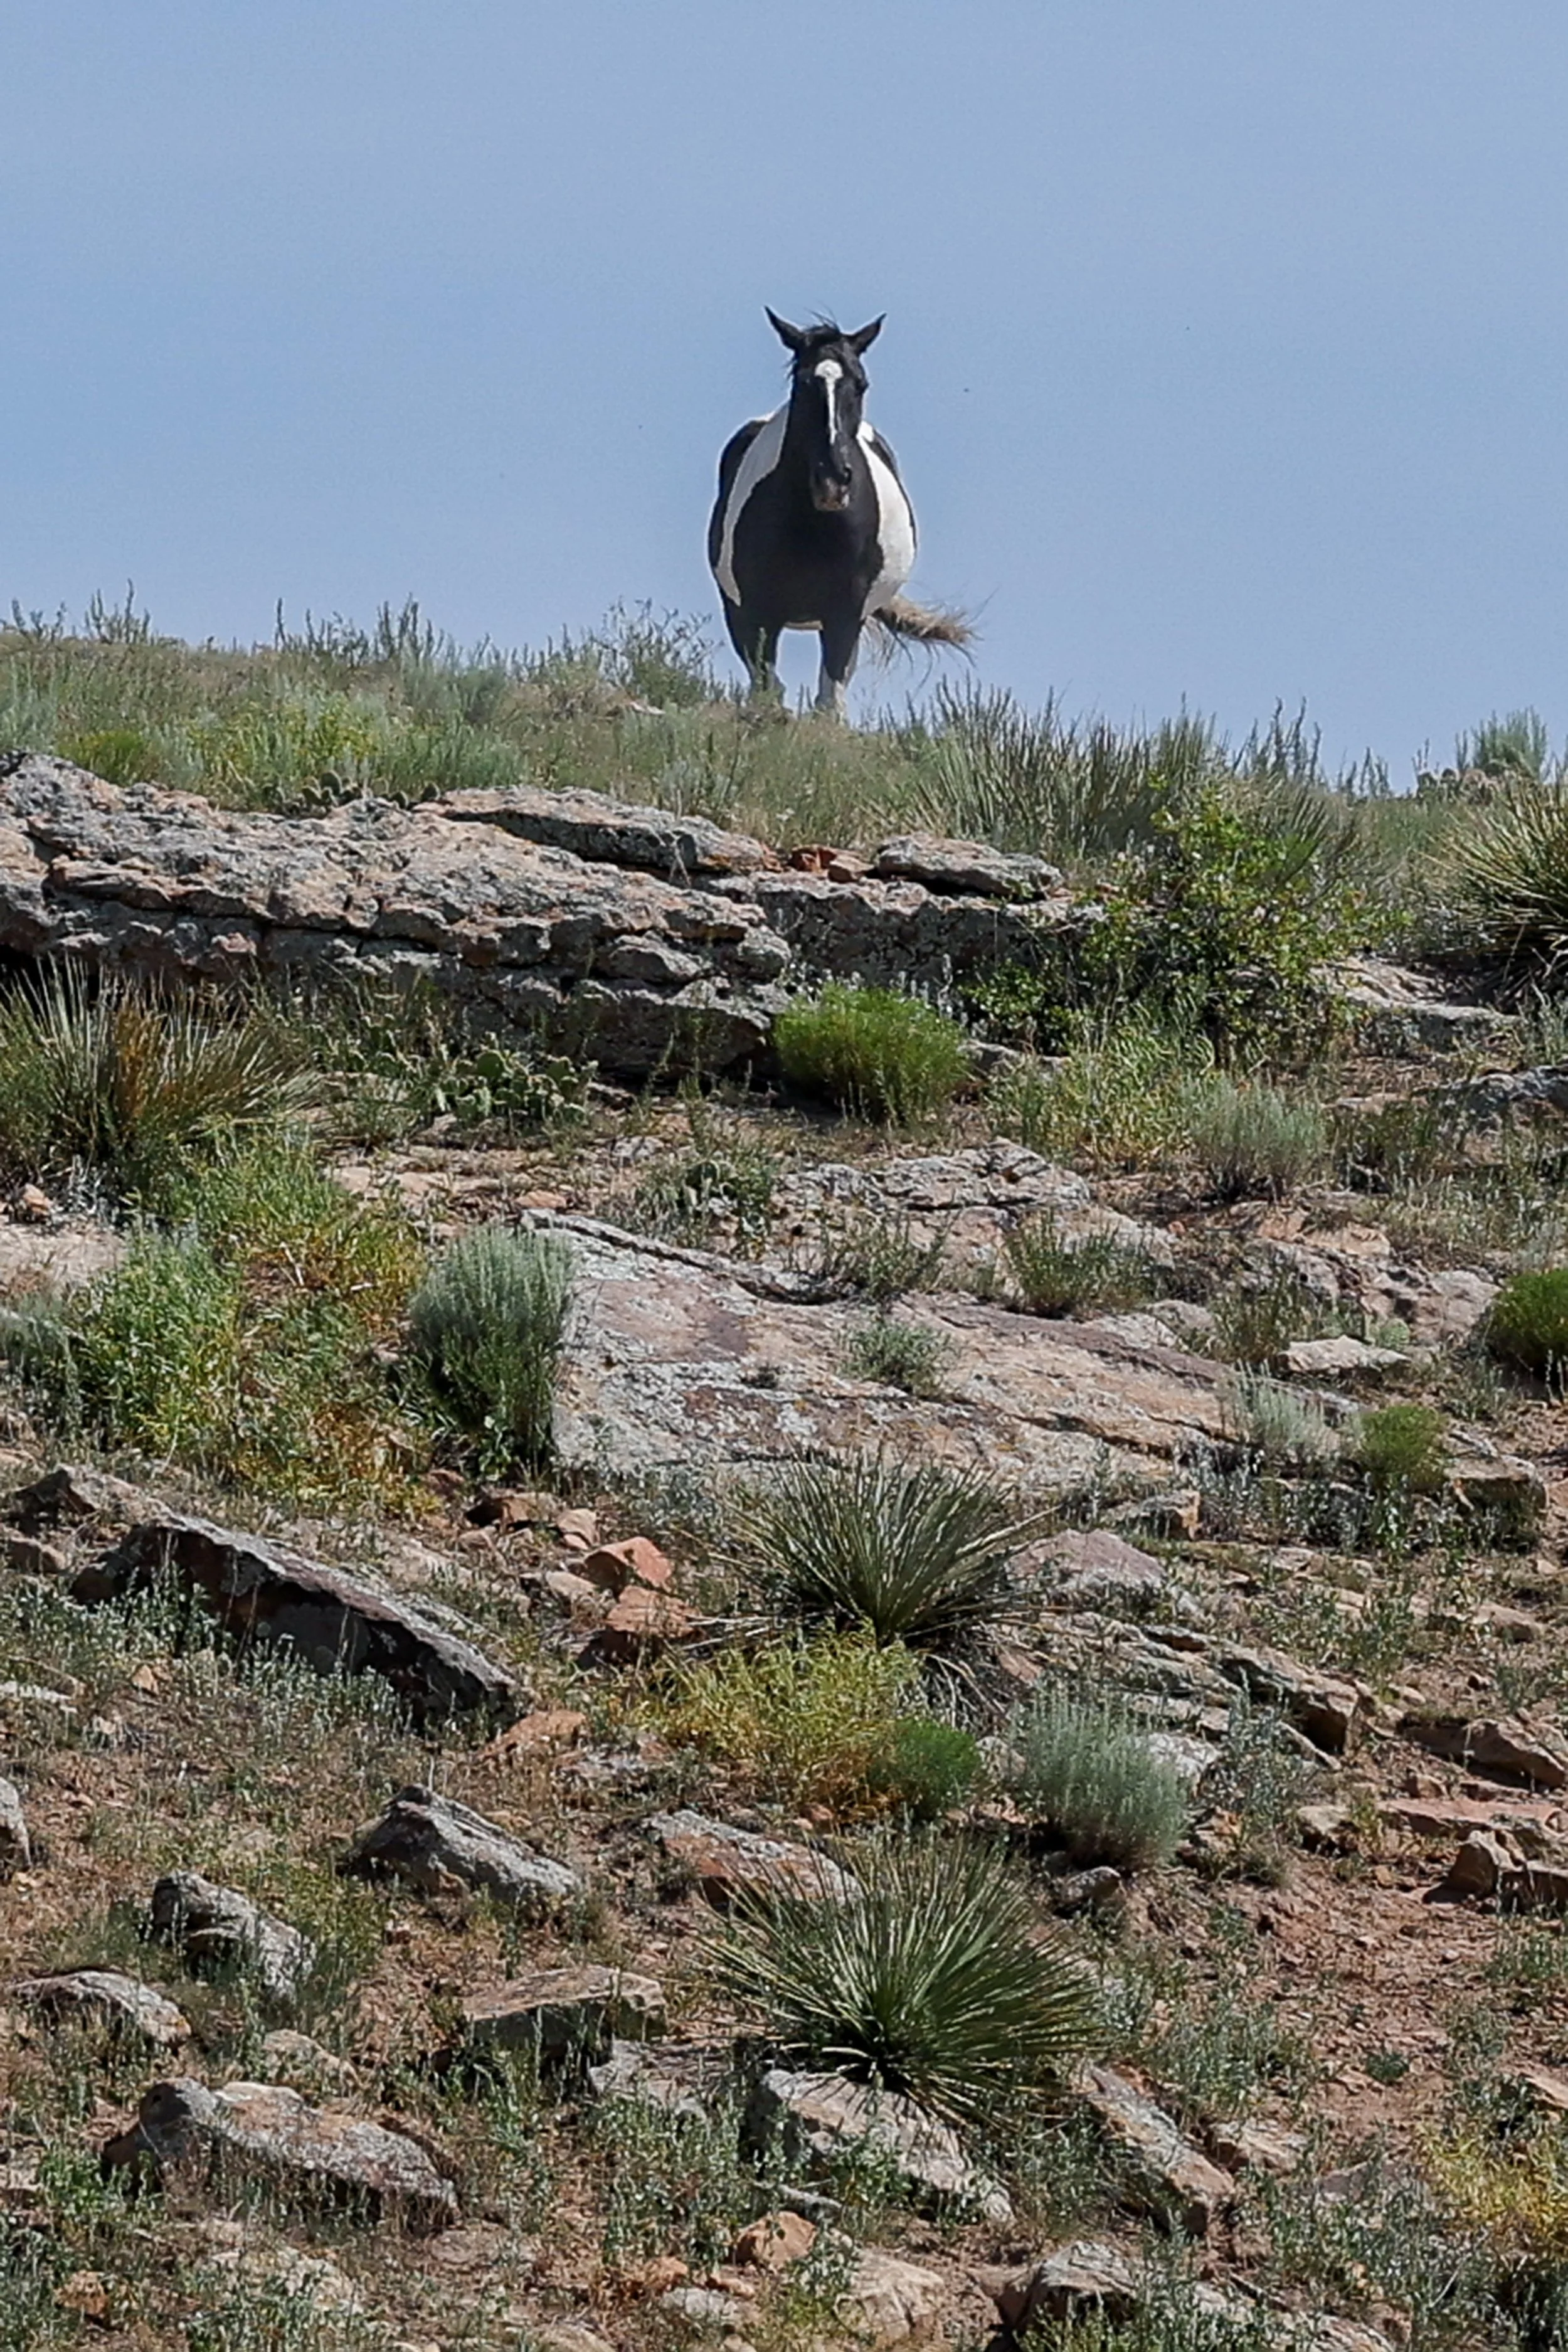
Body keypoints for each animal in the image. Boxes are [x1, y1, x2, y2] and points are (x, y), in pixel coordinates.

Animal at [707, 310, 970, 717]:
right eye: (802, 383)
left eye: (861, 384)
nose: (832, 480)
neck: (814, 528)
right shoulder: (754, 611)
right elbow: (768, 689)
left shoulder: (845, 612)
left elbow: (829, 702)